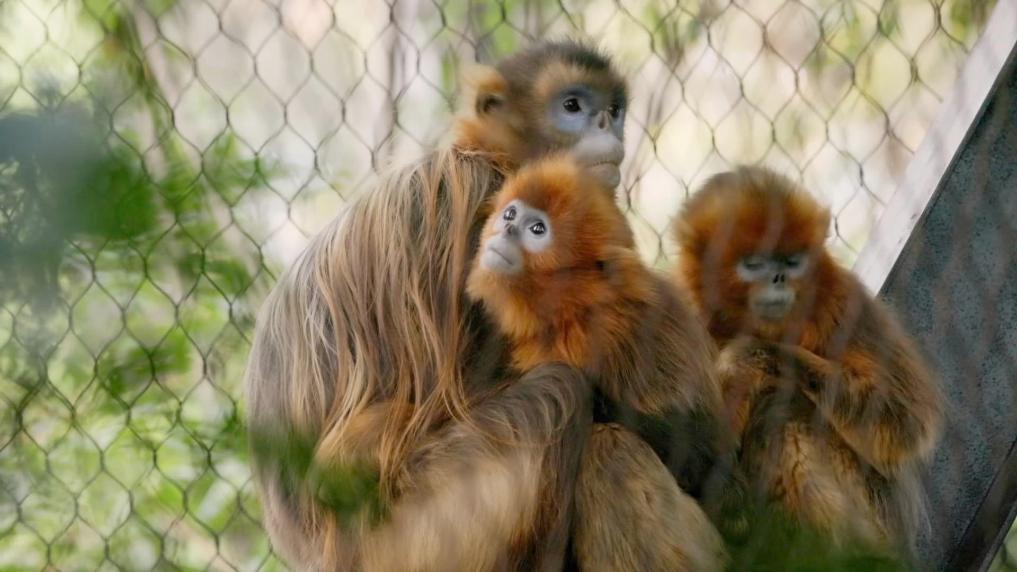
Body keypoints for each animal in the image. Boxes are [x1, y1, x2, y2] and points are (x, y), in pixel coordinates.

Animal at [465, 157, 729, 571]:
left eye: (537, 229)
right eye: (511, 214)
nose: (505, 227)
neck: (573, 314)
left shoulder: (642, 324)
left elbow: (705, 459)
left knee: (608, 445)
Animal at [673, 165, 945, 558]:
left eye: (792, 261)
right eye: (755, 264)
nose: (779, 277)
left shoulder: (845, 300)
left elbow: (904, 421)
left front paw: (745, 357)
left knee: (783, 414)